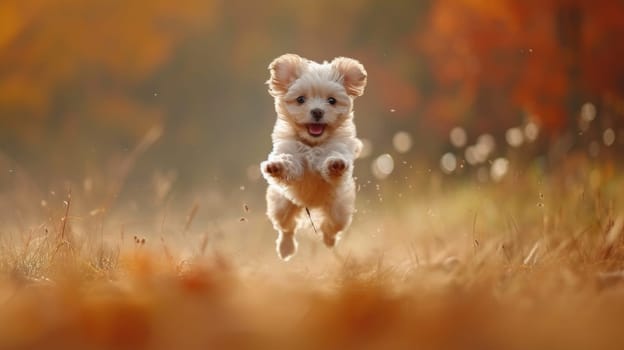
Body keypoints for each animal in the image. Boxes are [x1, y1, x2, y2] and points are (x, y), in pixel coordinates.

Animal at [260, 52, 368, 260]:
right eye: (301, 99)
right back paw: (286, 249)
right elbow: (289, 163)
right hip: (282, 204)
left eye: (332, 100)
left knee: (330, 228)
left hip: (338, 209)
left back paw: (328, 241)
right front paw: (277, 166)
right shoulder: (291, 152)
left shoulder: (339, 148)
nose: (317, 111)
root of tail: (310, 204)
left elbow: (332, 161)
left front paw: (335, 164)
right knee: (286, 228)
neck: (313, 144)